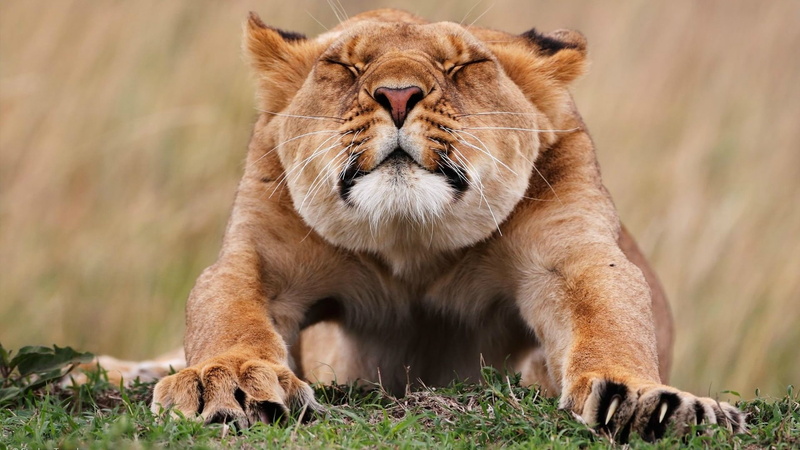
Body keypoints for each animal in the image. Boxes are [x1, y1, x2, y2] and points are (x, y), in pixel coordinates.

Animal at [148, 9, 744, 441]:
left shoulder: (572, 257)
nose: (398, 95)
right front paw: (225, 380)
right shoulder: (260, 258)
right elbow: (226, 311)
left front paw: (647, 399)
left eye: (462, 67)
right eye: (345, 66)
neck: (414, 245)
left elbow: (610, 319)